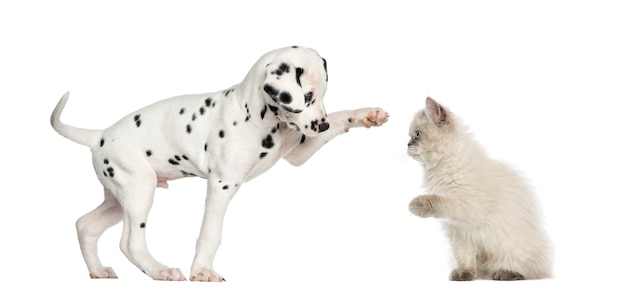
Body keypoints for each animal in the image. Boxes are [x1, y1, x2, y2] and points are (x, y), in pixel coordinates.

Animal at [51, 45, 388, 280]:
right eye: (305, 96)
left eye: (322, 95)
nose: (319, 125)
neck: (255, 114)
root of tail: (100, 135)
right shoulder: (222, 184)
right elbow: (211, 233)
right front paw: (202, 272)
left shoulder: (299, 153)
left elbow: (340, 119)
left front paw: (368, 114)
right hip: (139, 192)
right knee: (130, 242)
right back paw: (161, 271)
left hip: (118, 198)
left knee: (86, 225)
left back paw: (98, 271)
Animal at [408, 97, 548, 280]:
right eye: (410, 136)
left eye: (417, 135)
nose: (407, 144)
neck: (442, 166)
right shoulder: (458, 233)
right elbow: (464, 257)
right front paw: (464, 275)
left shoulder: (466, 207)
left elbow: (439, 201)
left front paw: (415, 205)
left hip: (514, 249)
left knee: (527, 271)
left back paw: (504, 273)